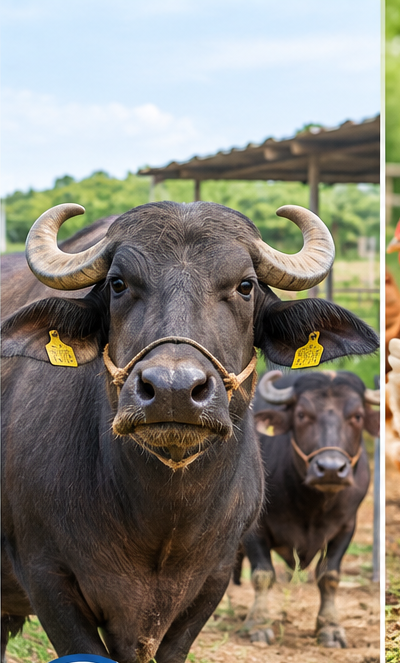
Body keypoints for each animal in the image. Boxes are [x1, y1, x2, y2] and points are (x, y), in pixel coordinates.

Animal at [237, 369, 380, 648]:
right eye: (302, 414)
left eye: (357, 416)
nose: (331, 469)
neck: (312, 505)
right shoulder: (254, 528)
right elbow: (263, 574)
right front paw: (258, 623)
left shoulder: (346, 527)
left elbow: (329, 576)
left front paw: (330, 627)